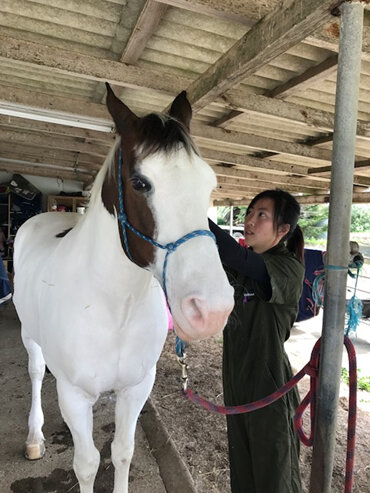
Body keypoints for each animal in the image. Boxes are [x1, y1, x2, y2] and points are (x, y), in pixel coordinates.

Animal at [14, 85, 236, 492]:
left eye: (209, 183)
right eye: (140, 183)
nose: (211, 310)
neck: (114, 308)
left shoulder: (136, 388)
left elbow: (122, 452)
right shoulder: (74, 394)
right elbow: (87, 464)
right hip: (28, 334)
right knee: (36, 372)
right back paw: (34, 437)